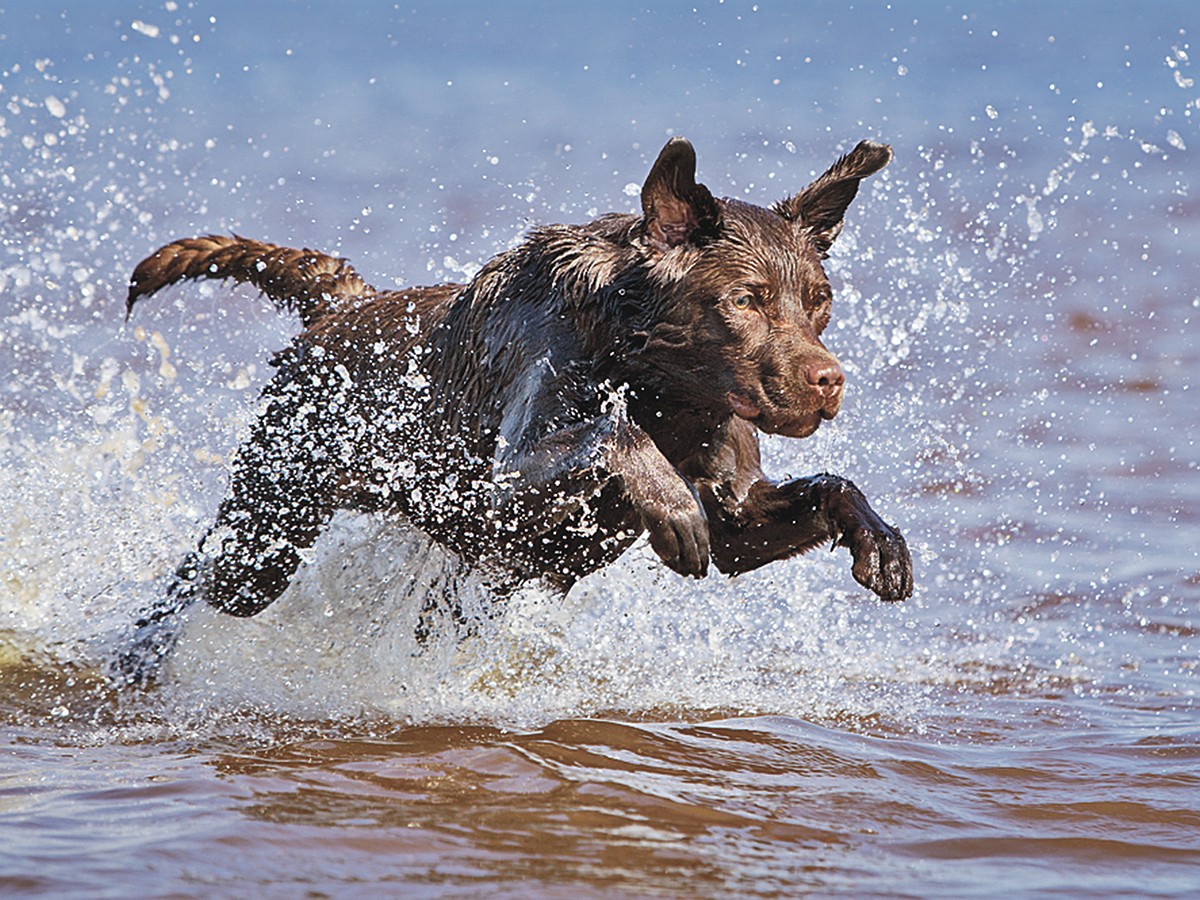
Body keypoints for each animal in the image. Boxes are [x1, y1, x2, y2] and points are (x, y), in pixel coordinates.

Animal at [119, 135, 907, 681]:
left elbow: (825, 490)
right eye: (745, 300)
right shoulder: (494, 489)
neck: (656, 380)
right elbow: (611, 433)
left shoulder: (738, 523)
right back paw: (134, 660)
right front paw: (668, 500)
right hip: (264, 539)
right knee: (191, 585)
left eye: (819, 302)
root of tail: (339, 305)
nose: (829, 380)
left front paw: (880, 540)